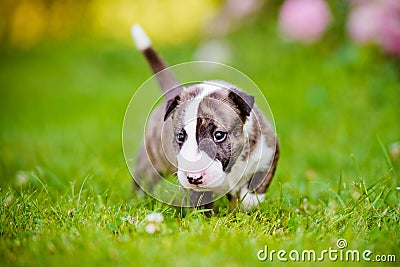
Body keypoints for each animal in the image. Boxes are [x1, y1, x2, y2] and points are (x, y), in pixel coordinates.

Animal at [130, 24, 278, 211]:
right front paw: (204, 217)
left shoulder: (268, 151)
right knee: (142, 181)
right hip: (150, 162)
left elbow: (258, 182)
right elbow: (199, 201)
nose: (194, 177)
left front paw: (248, 204)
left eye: (219, 135)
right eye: (180, 136)